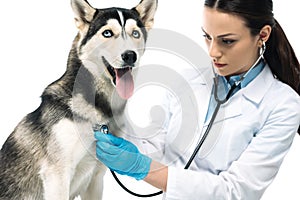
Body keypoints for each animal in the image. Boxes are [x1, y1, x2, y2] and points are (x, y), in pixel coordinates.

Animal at [0, 0, 158, 198]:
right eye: (107, 33)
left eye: (135, 33)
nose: (130, 55)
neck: (99, 111)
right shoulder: (57, 175)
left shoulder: (96, 177)